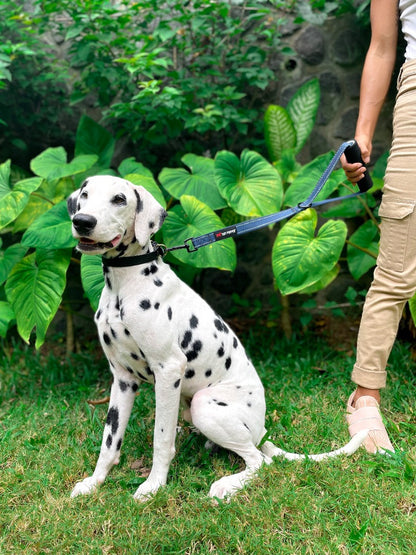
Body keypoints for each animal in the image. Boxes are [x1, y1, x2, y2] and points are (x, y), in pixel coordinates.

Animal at [68, 176, 368, 502]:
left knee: (260, 461)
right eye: (85, 195)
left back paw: (226, 485)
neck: (126, 284)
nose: (82, 221)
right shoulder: (122, 379)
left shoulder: (168, 371)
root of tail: (262, 430)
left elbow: (161, 438)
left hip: (204, 404)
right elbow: (109, 440)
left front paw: (154, 486)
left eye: (120, 199)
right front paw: (94, 482)